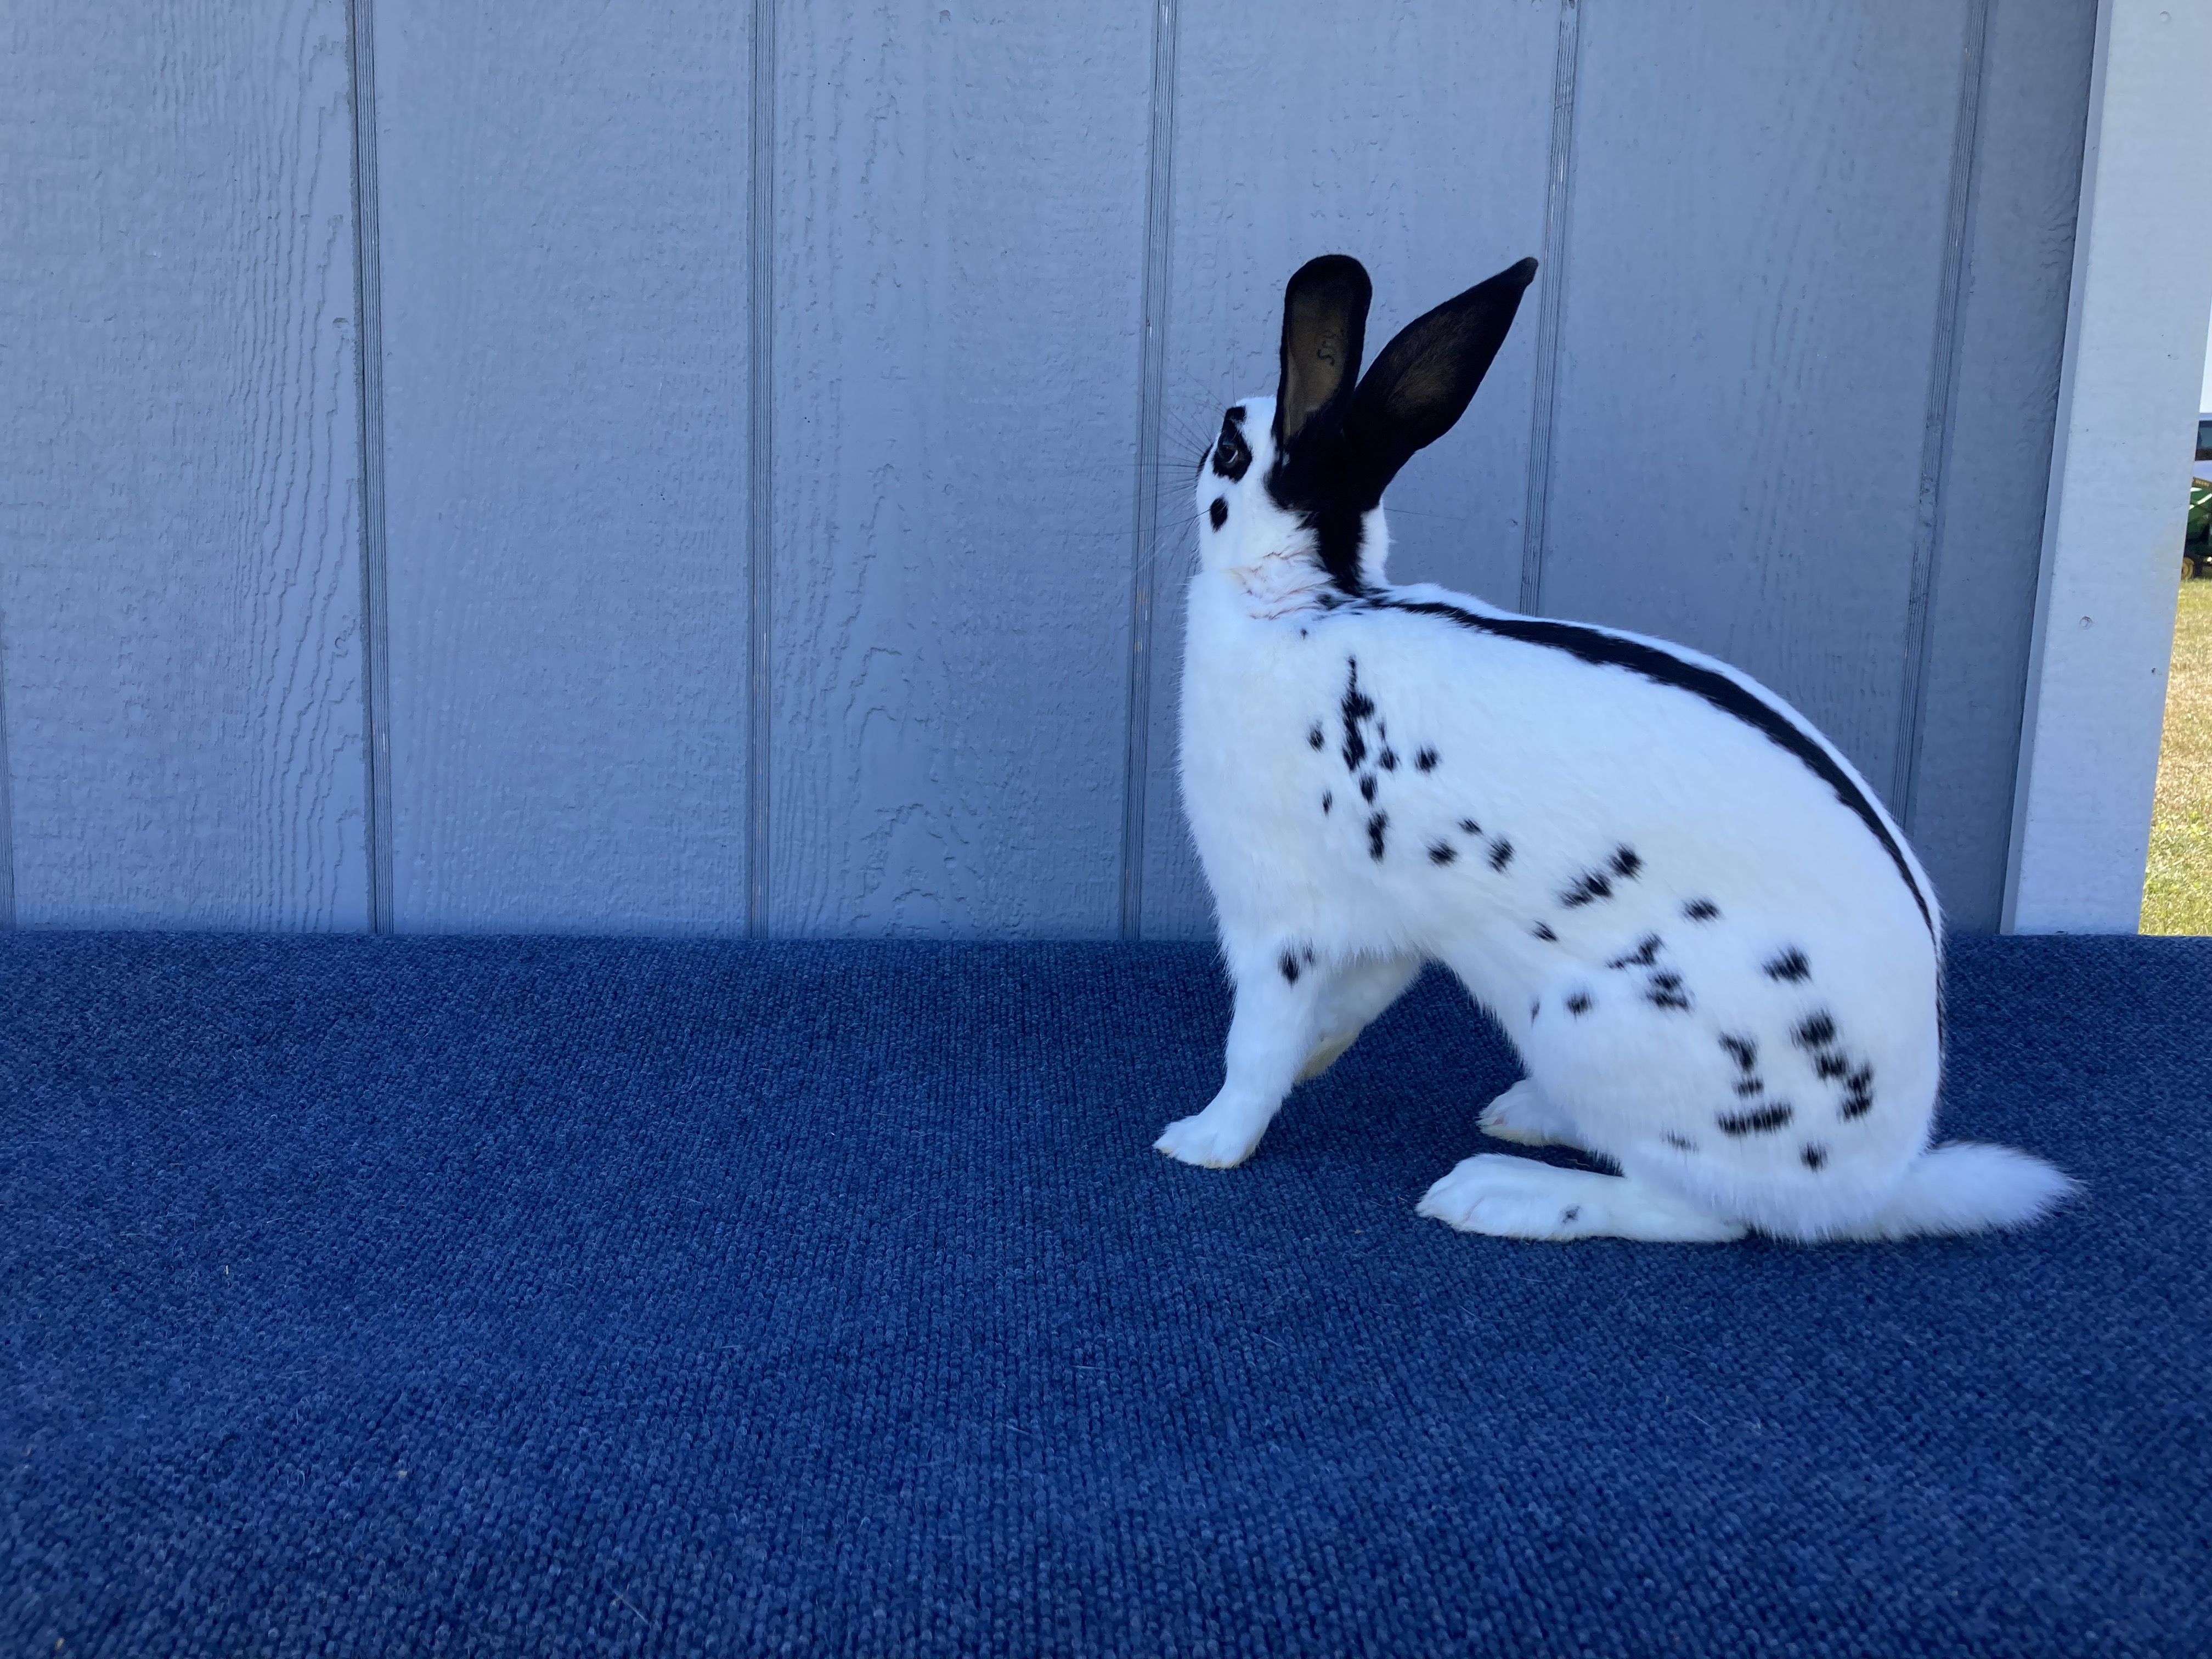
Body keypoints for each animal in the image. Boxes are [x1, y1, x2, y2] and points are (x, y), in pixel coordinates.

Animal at [1154, 252, 2078, 1244]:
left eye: (1232, 450)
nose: (1199, 444)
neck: (1298, 605)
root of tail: (1875, 1183)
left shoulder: (1277, 921)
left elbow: (1257, 1045)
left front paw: (1201, 1141)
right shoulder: (1391, 929)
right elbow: (1346, 1010)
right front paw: (1317, 1064)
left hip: (1593, 1020)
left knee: (1701, 1211)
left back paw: (1498, 1190)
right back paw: (1525, 1114)